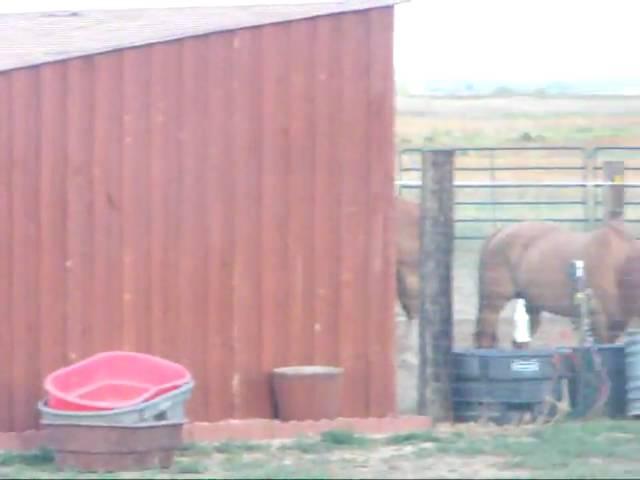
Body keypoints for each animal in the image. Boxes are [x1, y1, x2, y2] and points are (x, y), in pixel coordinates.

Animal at [472, 218, 636, 348]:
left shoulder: (616, 322)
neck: (618, 263)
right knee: (485, 338)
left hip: (531, 305)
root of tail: (499, 233)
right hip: (493, 303)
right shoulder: (600, 320)